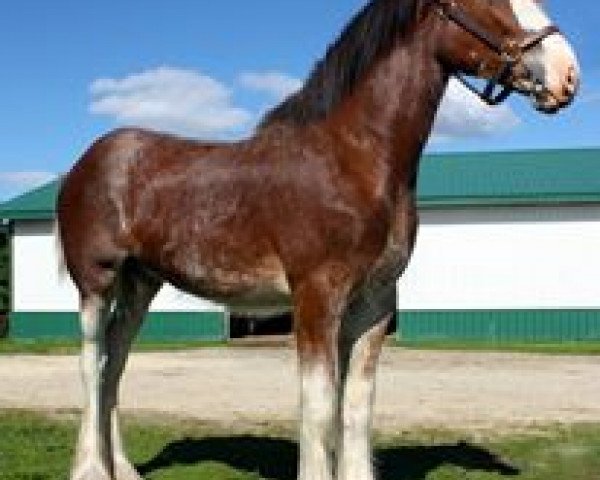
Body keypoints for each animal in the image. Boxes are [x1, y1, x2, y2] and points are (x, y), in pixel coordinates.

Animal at [58, 0, 580, 480]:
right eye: (489, 1)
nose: (567, 75)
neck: (352, 159)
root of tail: (89, 162)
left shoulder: (374, 303)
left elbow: (357, 408)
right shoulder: (316, 295)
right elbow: (320, 406)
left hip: (140, 285)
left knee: (114, 364)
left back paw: (123, 469)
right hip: (97, 284)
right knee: (91, 363)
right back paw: (90, 469)